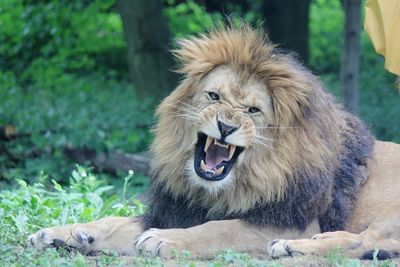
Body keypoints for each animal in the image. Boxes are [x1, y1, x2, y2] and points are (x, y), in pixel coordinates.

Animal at [29, 24, 400, 260]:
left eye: (253, 110)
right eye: (213, 96)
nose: (225, 126)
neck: (223, 189)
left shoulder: (290, 221)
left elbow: (219, 228)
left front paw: (163, 238)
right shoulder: (177, 209)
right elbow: (113, 222)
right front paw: (62, 233)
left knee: (365, 241)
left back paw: (294, 247)